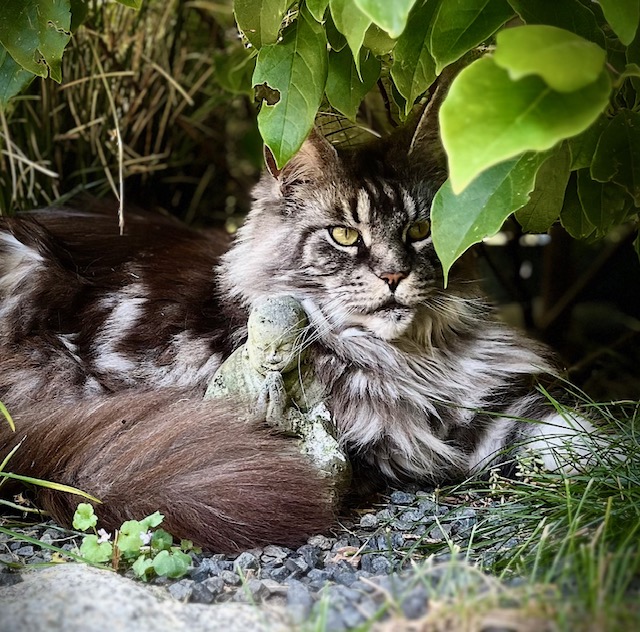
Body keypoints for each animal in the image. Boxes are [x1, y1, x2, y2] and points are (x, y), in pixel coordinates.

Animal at [0, 130, 596, 552]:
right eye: (345, 235)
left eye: (420, 231)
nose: (394, 275)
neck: (410, 357)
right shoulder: (383, 435)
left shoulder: (482, 402)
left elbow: (561, 427)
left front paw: (597, 464)